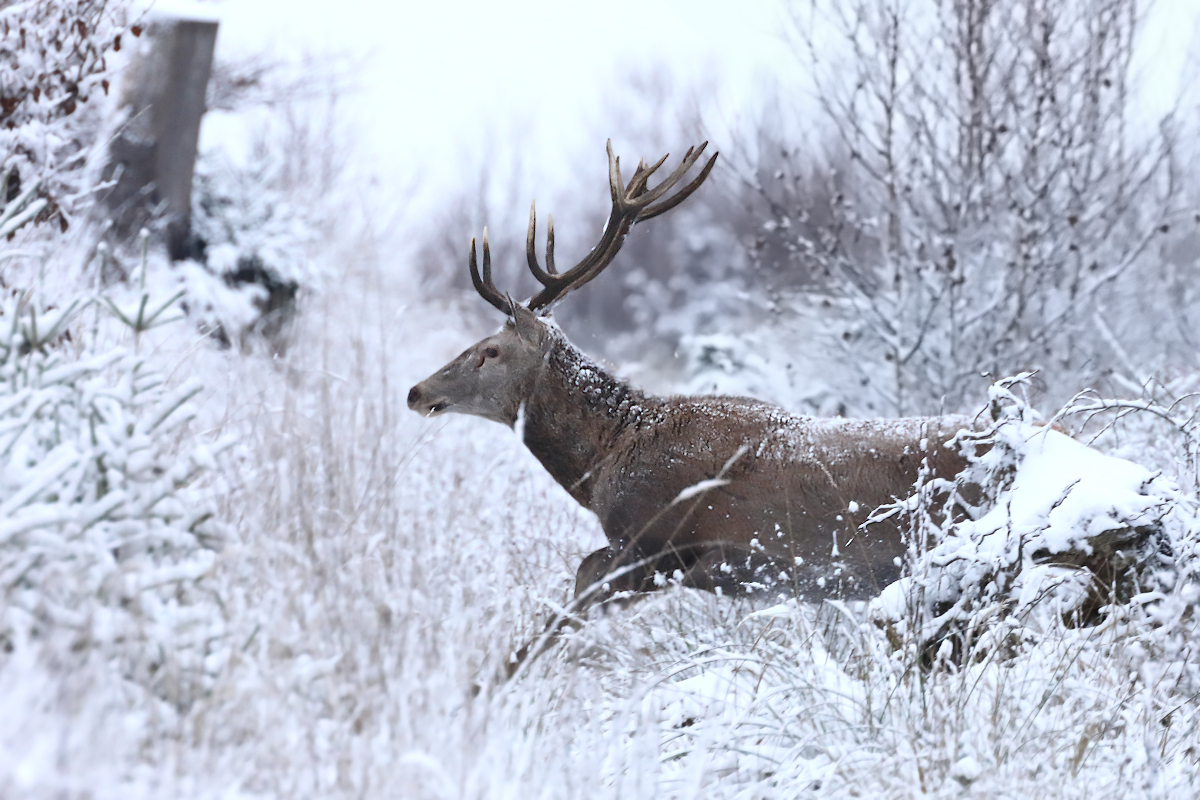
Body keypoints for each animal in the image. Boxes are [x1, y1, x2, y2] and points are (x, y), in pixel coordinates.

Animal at [408, 139, 979, 671]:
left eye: (490, 350)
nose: (417, 391)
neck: (602, 466)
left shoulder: (656, 544)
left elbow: (564, 610)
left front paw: (484, 688)